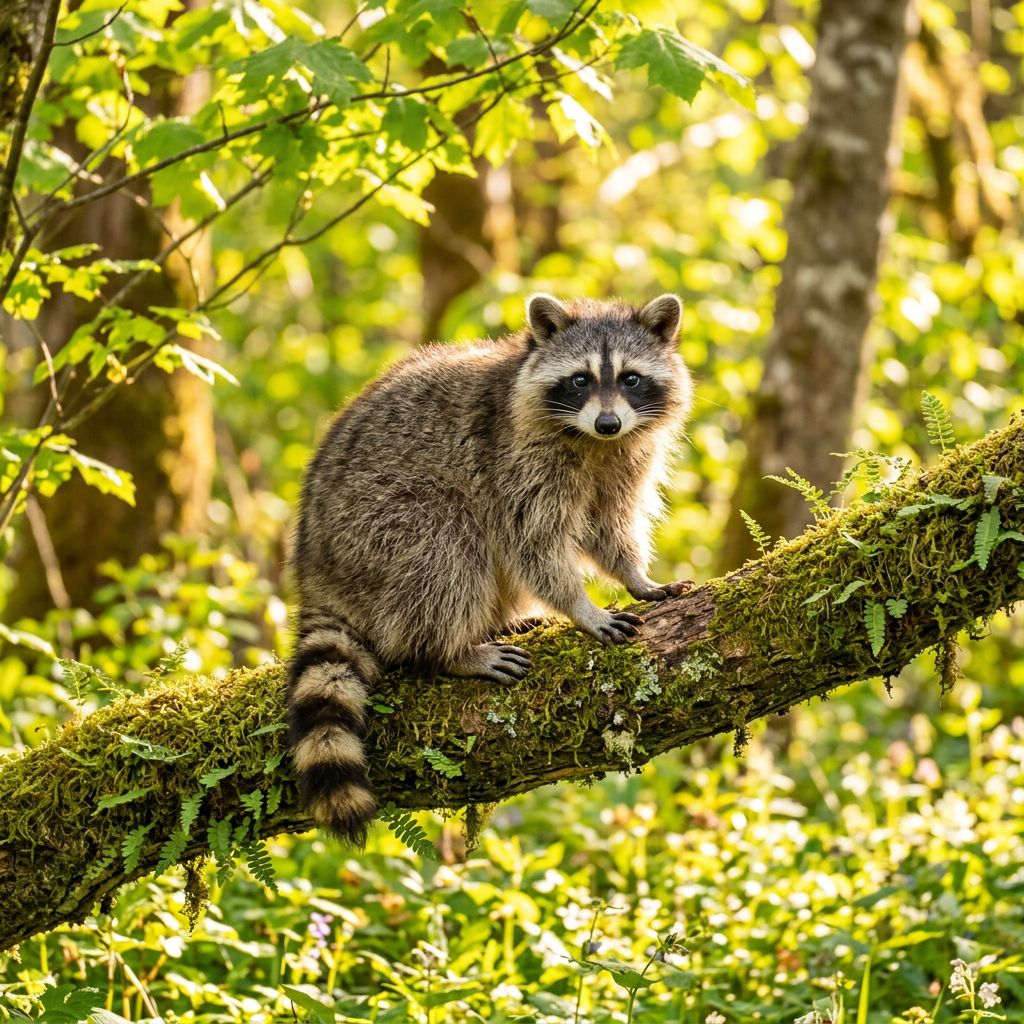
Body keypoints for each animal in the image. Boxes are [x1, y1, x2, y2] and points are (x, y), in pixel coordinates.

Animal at [287, 293, 693, 843]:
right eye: (580, 380)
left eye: (631, 378)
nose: (608, 422)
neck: (591, 442)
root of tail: (314, 569)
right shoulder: (512, 457)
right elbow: (532, 543)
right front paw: (581, 606)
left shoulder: (624, 456)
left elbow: (608, 526)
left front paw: (636, 576)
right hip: (374, 528)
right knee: (446, 544)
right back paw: (448, 649)